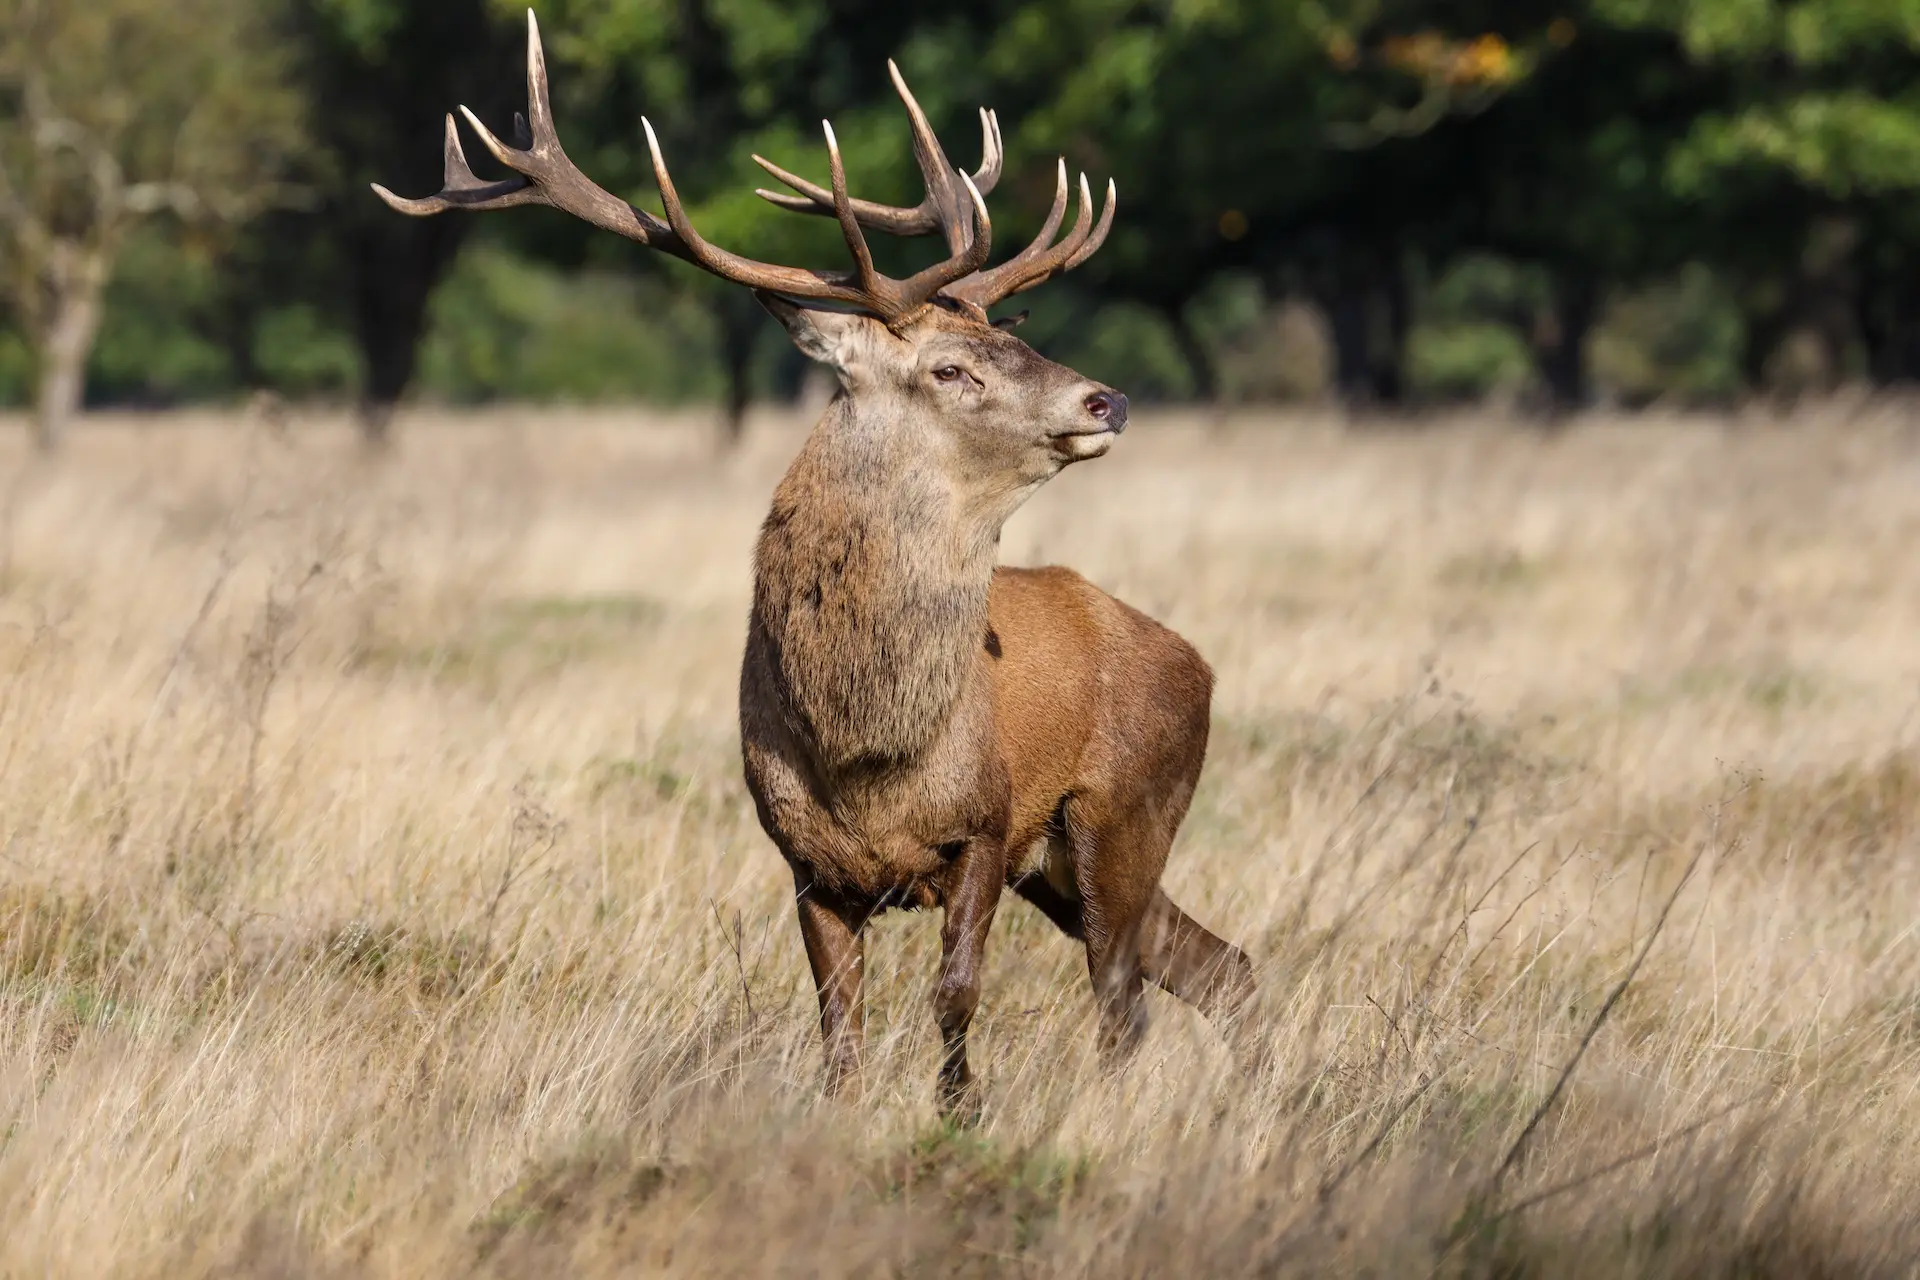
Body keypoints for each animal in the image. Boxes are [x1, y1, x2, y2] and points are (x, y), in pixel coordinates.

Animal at [377, 11, 1256, 1119]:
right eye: (951, 367)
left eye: (1006, 340)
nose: (1109, 398)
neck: (865, 753)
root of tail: (1196, 661)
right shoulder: (804, 863)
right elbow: (839, 1034)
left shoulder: (987, 824)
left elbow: (955, 993)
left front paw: (960, 1117)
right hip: (1070, 857)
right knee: (1218, 969)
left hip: (1121, 810)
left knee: (1127, 1001)